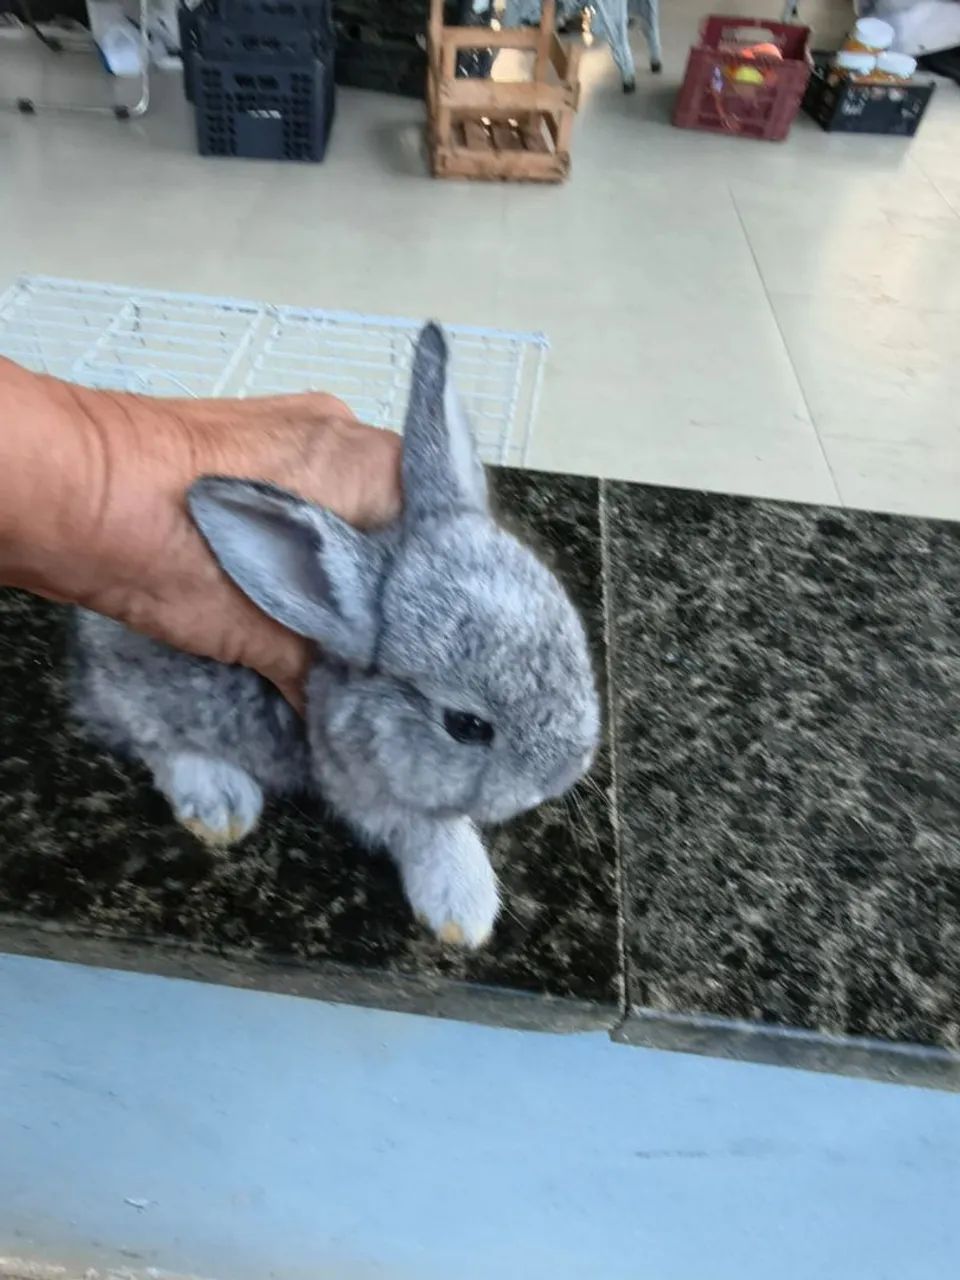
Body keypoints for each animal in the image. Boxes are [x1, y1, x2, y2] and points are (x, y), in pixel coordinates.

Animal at [71, 323, 600, 949]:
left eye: (572, 640)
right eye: (466, 726)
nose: (562, 774)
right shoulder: (358, 781)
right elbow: (427, 829)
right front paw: (464, 914)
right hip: (142, 681)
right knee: (148, 734)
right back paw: (220, 803)